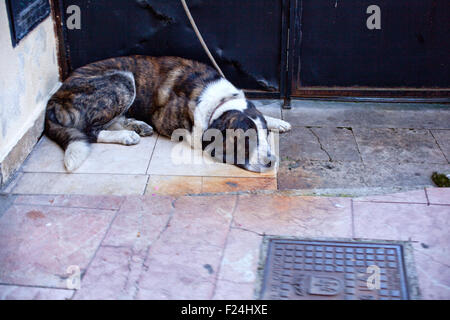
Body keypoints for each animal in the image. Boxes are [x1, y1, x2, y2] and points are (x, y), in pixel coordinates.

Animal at [45, 56, 292, 174]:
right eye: (244, 139)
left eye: (265, 135)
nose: (271, 161)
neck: (220, 102)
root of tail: (54, 97)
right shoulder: (171, 123)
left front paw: (277, 121)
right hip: (122, 80)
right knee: (91, 130)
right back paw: (126, 135)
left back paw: (136, 126)